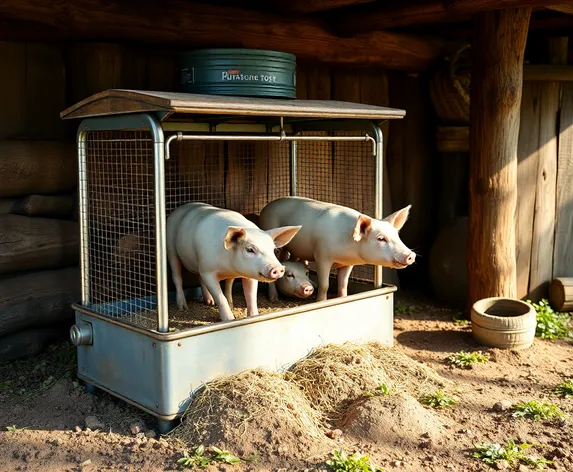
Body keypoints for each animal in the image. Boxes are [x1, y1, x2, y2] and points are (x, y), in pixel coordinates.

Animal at [165, 203, 300, 320]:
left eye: (273, 249)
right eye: (250, 249)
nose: (278, 268)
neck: (227, 266)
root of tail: (181, 207)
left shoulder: (249, 273)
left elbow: (251, 295)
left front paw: (253, 316)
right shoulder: (208, 271)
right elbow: (220, 297)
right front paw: (229, 320)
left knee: (222, 281)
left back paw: (212, 302)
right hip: (171, 249)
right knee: (177, 277)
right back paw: (183, 307)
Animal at [260, 196, 416, 300]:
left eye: (397, 235)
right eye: (381, 238)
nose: (410, 255)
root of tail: (266, 207)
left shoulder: (347, 264)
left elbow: (343, 284)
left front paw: (342, 299)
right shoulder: (321, 256)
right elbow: (325, 285)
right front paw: (321, 302)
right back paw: (274, 299)